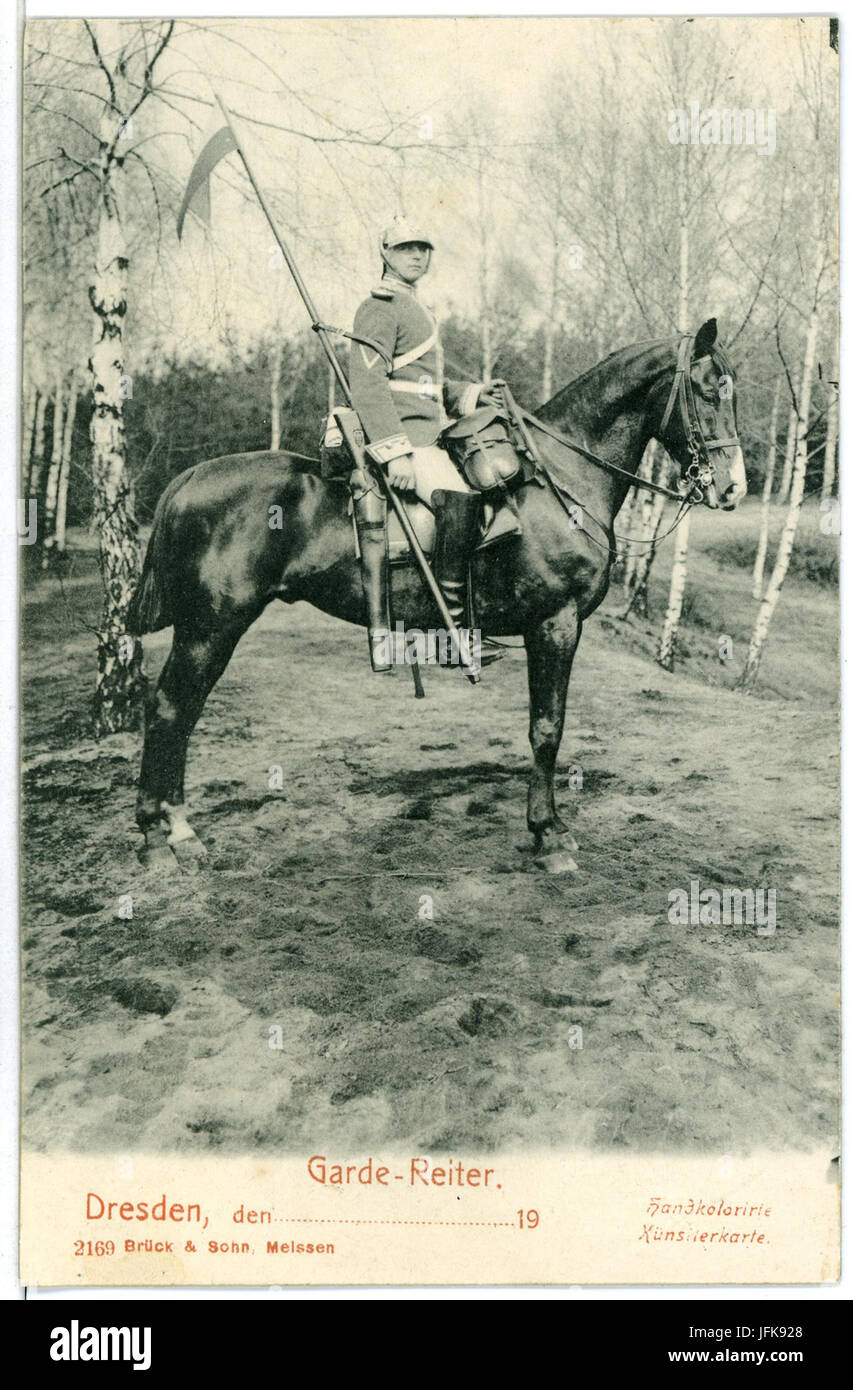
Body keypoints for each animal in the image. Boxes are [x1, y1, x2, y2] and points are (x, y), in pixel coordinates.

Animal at [127, 319, 750, 872]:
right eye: (707, 389)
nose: (733, 487)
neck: (563, 480)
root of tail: (186, 480)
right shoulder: (556, 623)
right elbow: (547, 727)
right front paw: (548, 834)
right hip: (211, 628)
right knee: (171, 710)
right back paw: (173, 835)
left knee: (169, 711)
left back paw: (158, 833)